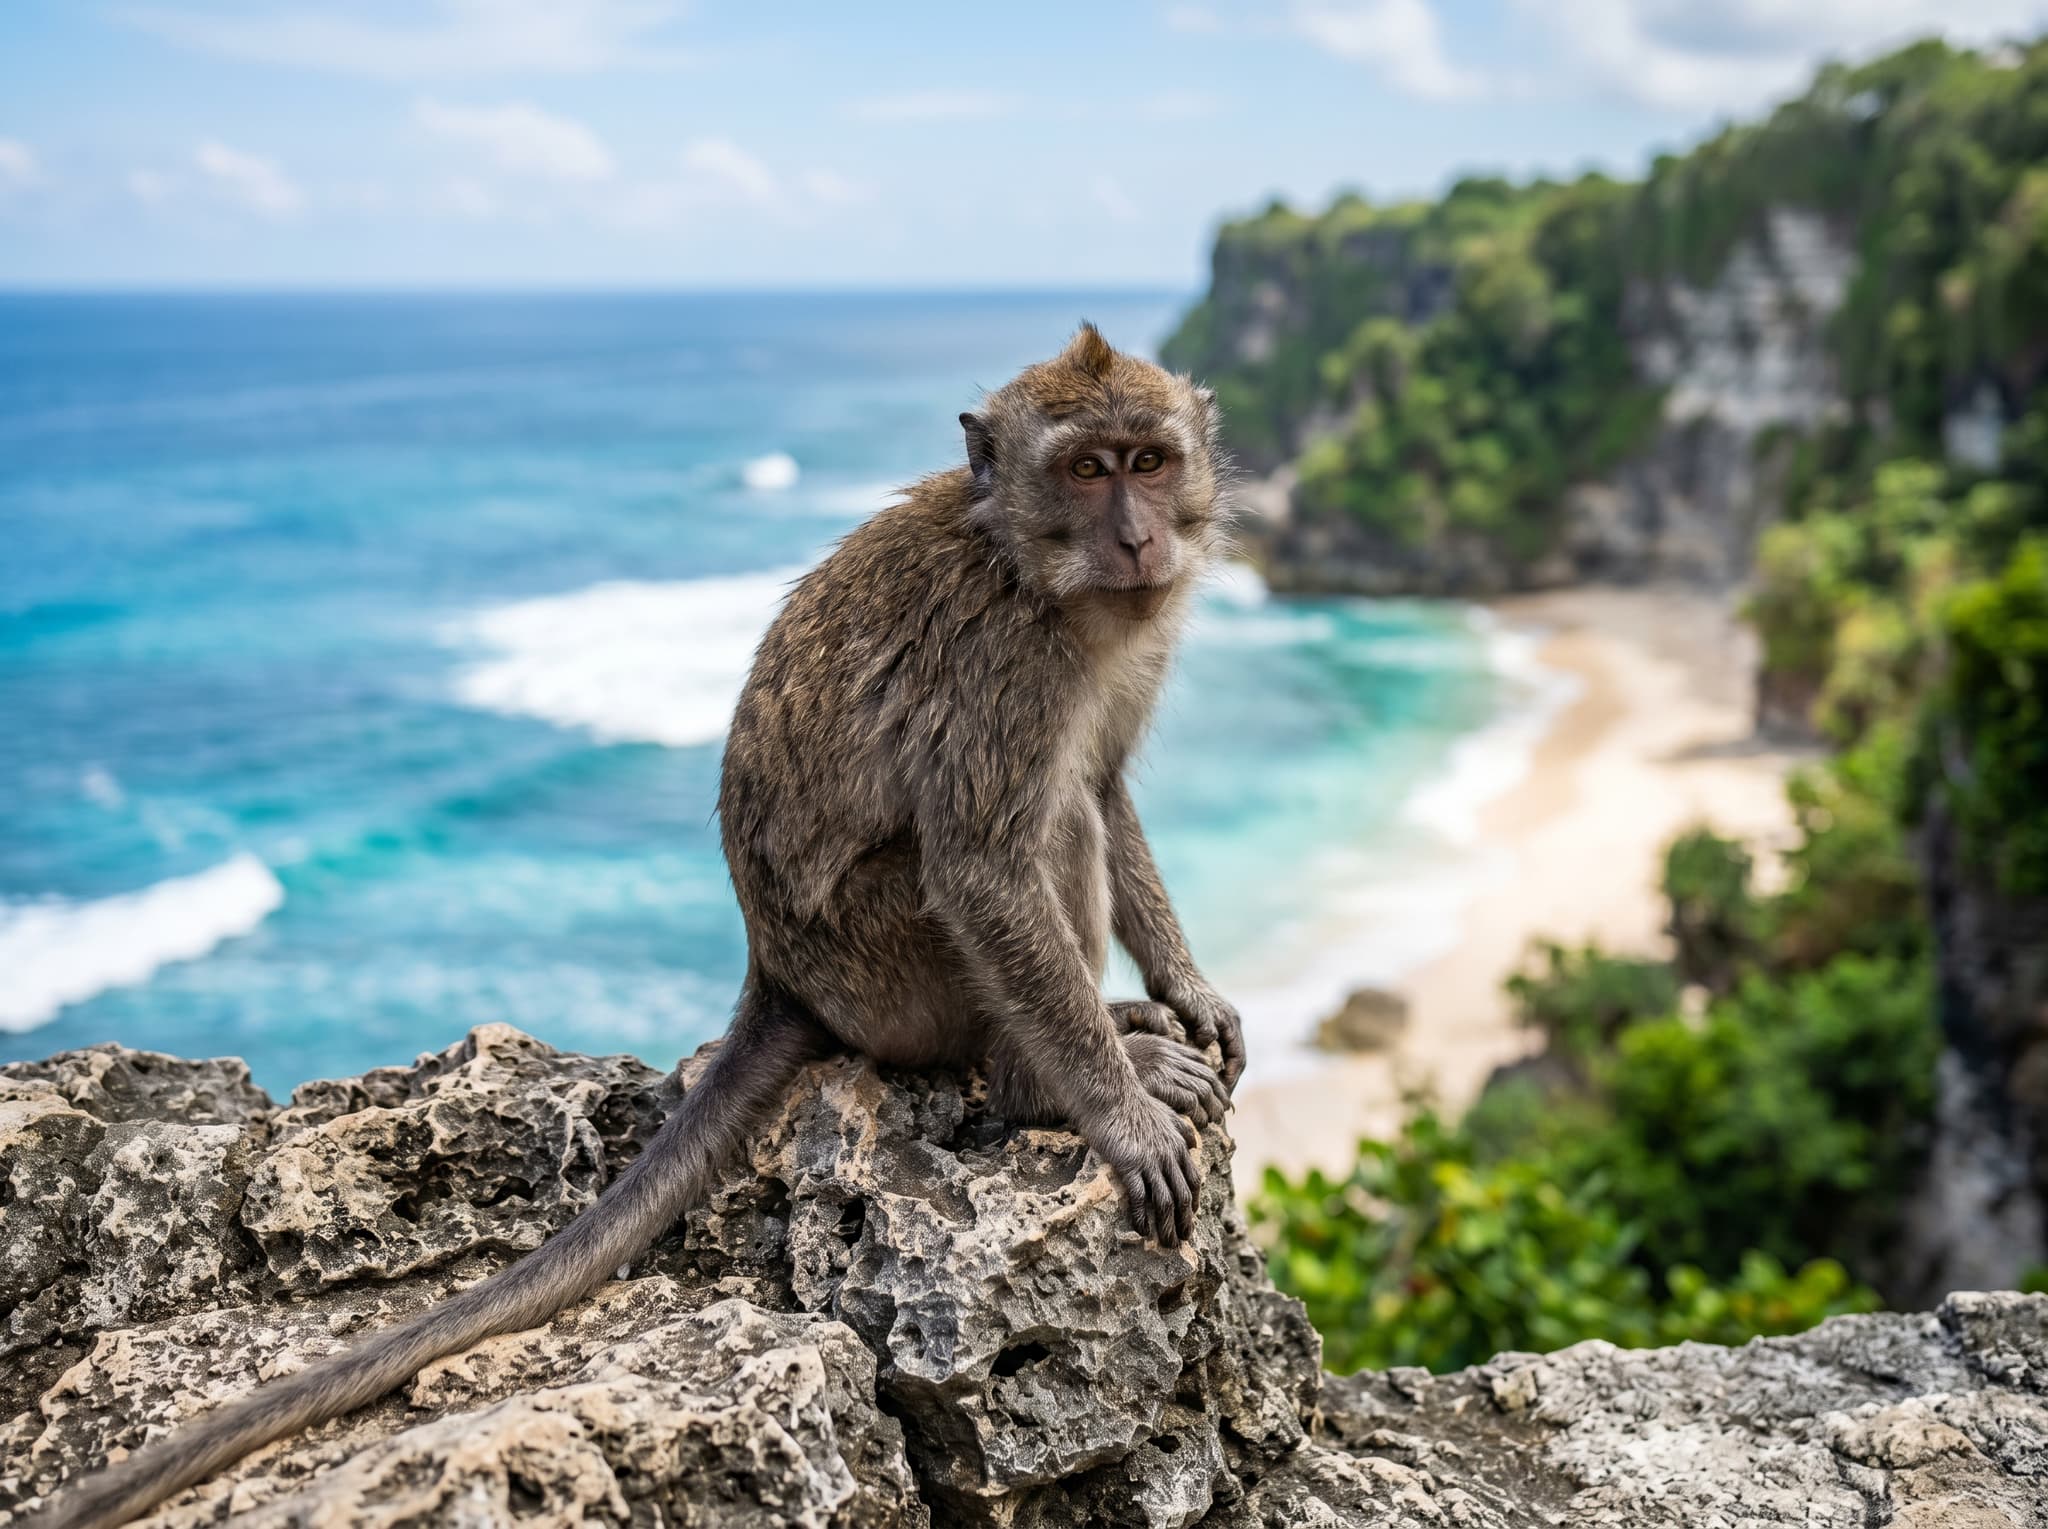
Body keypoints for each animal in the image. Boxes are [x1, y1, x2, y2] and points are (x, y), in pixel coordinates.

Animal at [29, 323, 1248, 1529]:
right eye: (1084, 471)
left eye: (1148, 462)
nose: (1137, 535)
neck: (1039, 578)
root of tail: (776, 971)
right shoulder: (1001, 670)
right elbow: (988, 865)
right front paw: (1116, 1112)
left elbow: (1106, 784)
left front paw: (1186, 992)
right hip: (888, 963)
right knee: (1032, 836)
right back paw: (1053, 1077)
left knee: (1072, 805)